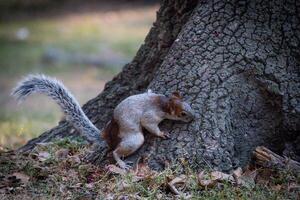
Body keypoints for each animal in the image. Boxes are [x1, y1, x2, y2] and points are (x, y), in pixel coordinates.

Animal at [11, 74, 196, 170]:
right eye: (183, 113)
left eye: (188, 104)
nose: (194, 117)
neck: (162, 102)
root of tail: (107, 136)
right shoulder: (151, 115)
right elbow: (149, 124)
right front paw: (162, 133)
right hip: (134, 138)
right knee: (115, 151)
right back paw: (121, 163)